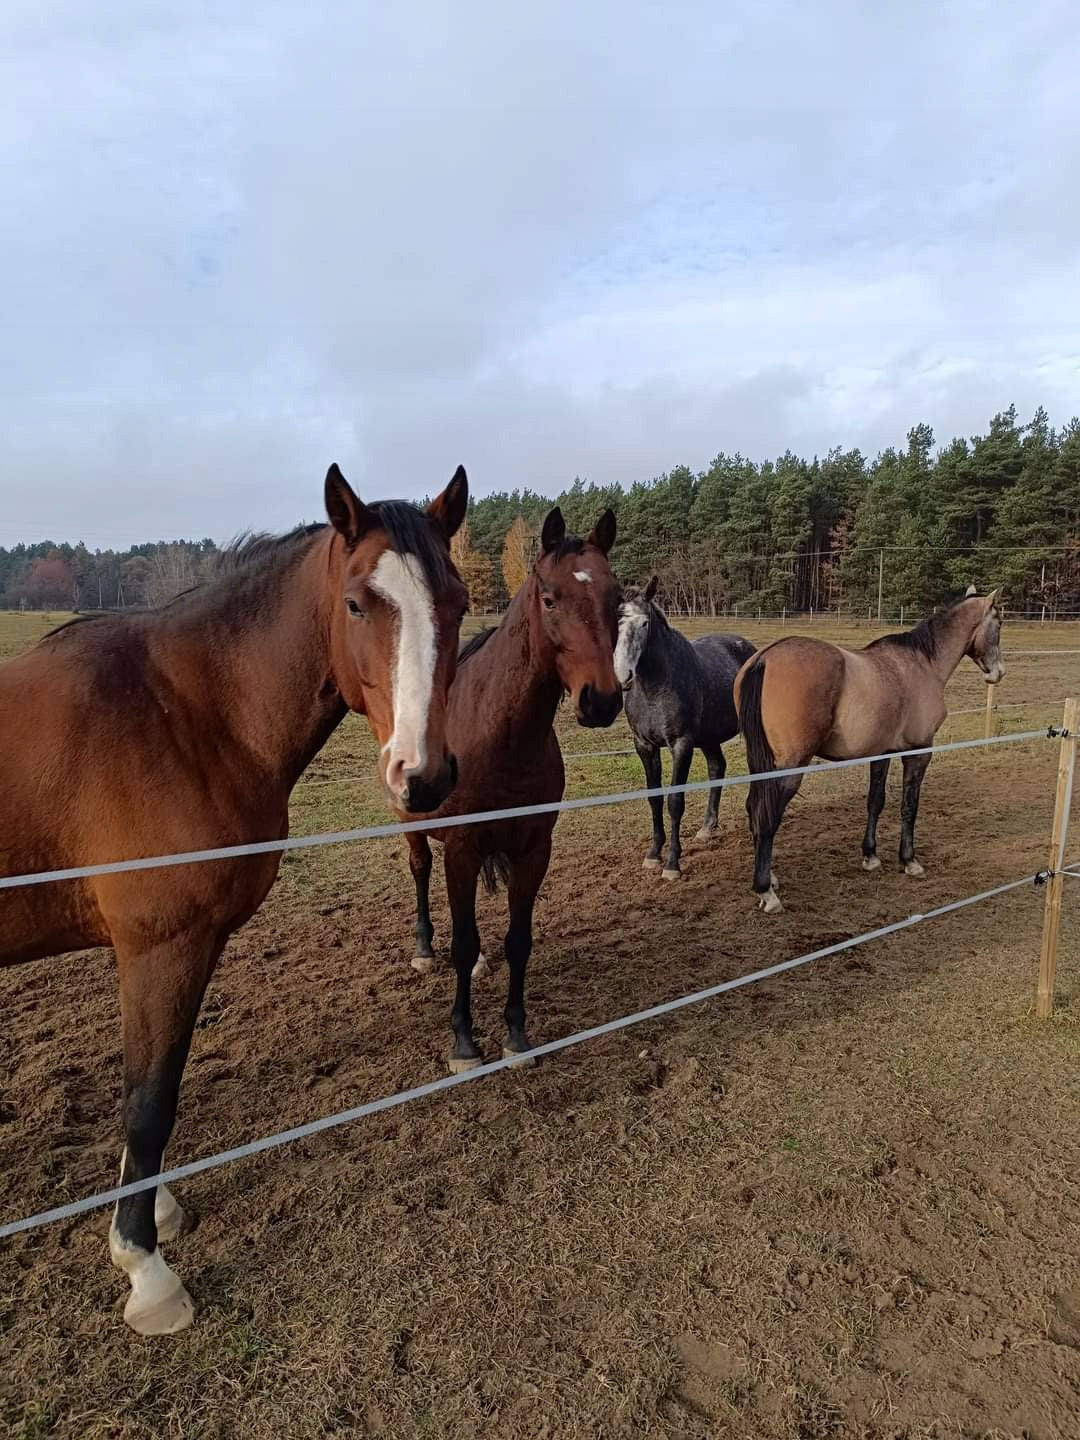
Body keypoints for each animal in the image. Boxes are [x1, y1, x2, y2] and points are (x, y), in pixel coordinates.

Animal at [0, 462, 470, 1335]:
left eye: (455, 602)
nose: (422, 776)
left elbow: (161, 1083)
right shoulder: (160, 948)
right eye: (358, 603)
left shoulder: (191, 947)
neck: (183, 715)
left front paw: (149, 1217)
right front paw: (146, 1269)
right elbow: (148, 1099)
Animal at [402, 506, 623, 1073]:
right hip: (413, 830)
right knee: (420, 870)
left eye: (617, 599)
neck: (500, 735)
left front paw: (517, 1035)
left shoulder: (533, 848)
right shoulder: (460, 846)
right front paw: (463, 1042)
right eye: (550, 599)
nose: (600, 701)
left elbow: (518, 940)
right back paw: (423, 950)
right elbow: (461, 941)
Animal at [614, 576, 756, 879]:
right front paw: (653, 854)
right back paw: (707, 828)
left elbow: (674, 801)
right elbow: (654, 798)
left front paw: (672, 864)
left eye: (645, 623)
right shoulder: (644, 745)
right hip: (710, 738)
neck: (655, 687)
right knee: (717, 768)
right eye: (617, 620)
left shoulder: (681, 744)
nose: (623, 675)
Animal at [735, 586, 1005, 914]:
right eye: (999, 624)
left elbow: (875, 801)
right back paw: (766, 891)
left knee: (754, 809)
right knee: (767, 817)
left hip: (760, 763)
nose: (998, 672)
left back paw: (770, 878)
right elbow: (909, 805)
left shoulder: (882, 753)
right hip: (790, 768)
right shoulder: (919, 752)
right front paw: (909, 860)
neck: (923, 664)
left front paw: (870, 856)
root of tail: (765, 658)